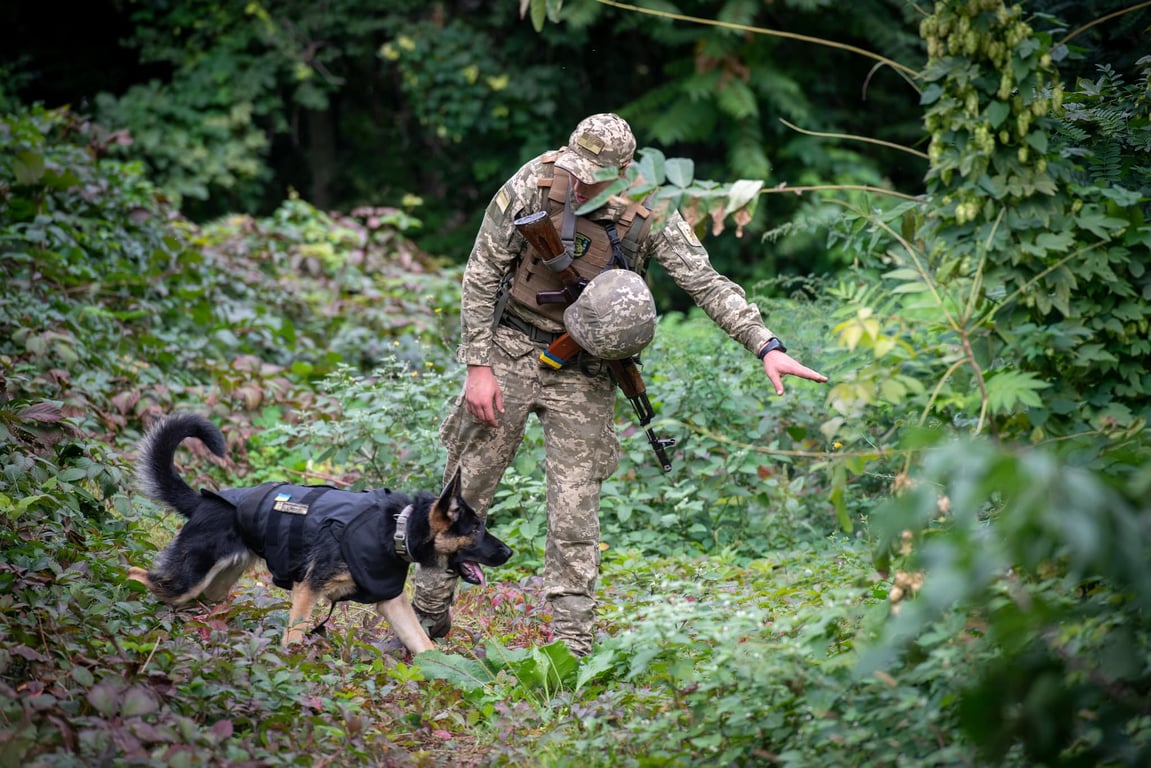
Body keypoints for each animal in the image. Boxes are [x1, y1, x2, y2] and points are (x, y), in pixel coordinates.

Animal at [124, 414, 513, 654]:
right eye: (477, 529)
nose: (509, 553)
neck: (397, 529)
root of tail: (205, 500)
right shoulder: (307, 590)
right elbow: (295, 635)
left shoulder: (392, 602)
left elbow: (423, 644)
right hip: (187, 579)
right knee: (137, 573)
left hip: (213, 588)